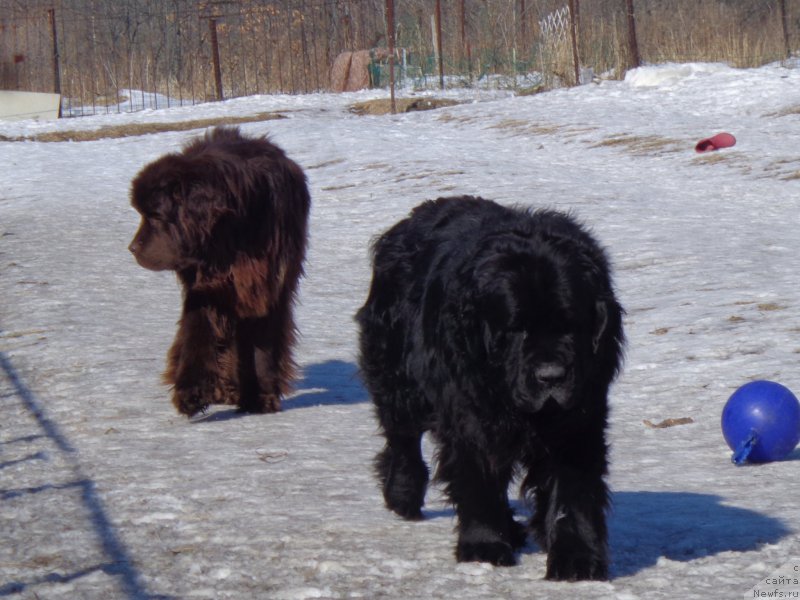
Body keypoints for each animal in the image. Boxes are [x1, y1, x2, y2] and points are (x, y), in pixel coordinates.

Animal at [128, 126, 310, 418]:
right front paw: (191, 393)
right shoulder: (206, 287)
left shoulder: (266, 286)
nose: (132, 248)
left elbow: (264, 344)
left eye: (155, 216)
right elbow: (197, 332)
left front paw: (263, 396)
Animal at [356, 197, 624, 580]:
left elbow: (573, 489)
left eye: (571, 325)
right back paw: (403, 494)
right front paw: (484, 546)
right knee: (403, 438)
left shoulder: (579, 416)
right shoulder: (470, 414)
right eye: (516, 329)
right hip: (397, 377)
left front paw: (577, 558)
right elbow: (478, 477)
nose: (552, 375)